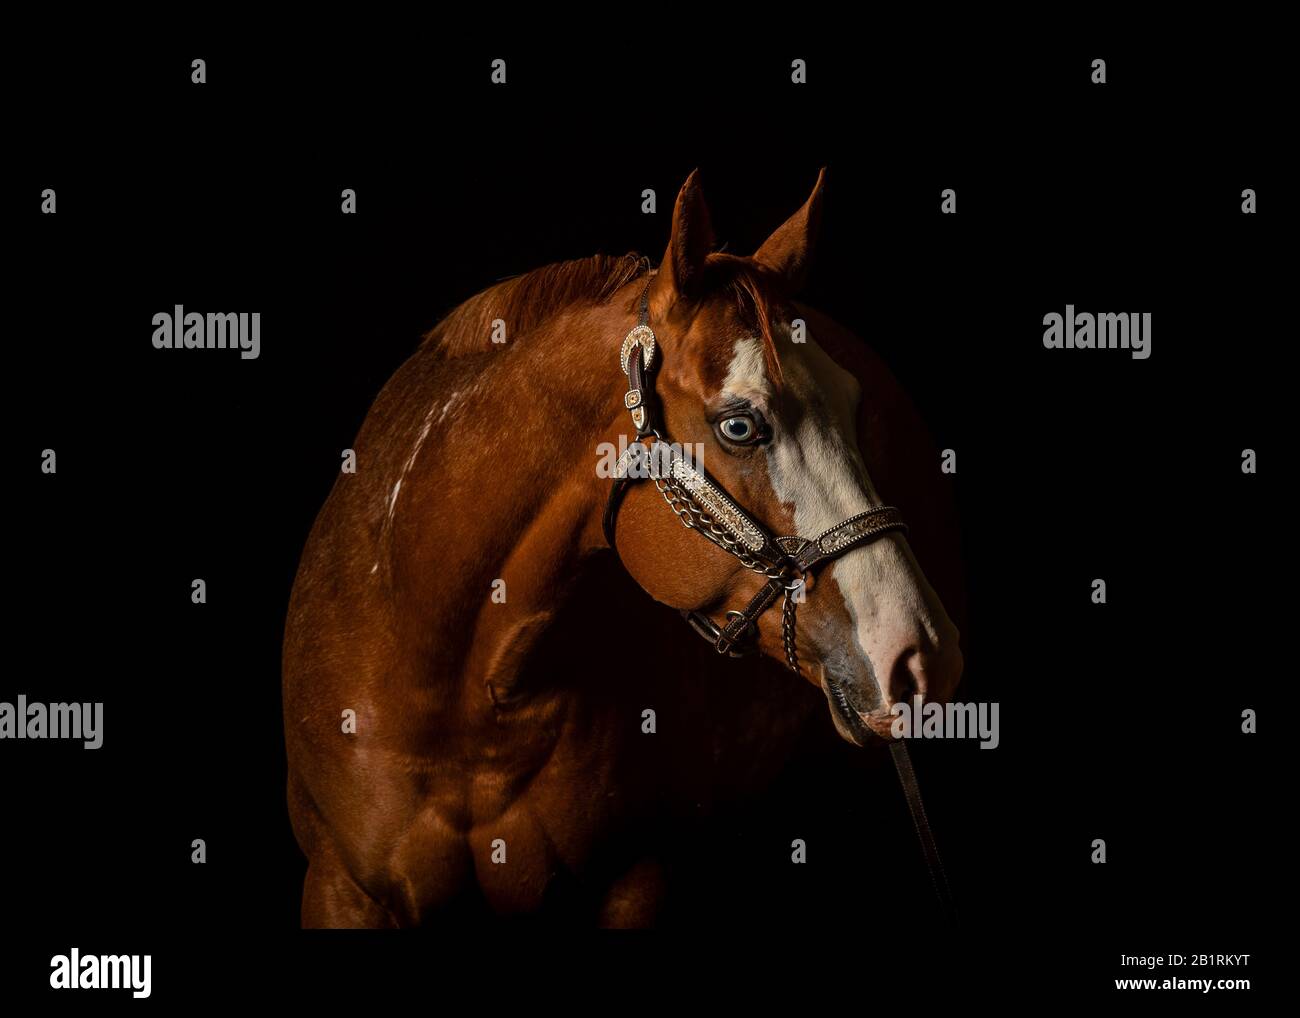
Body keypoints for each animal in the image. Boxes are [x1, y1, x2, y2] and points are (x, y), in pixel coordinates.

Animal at [282, 170, 965, 927]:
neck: (461, 690)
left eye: (855, 406)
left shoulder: (637, 881)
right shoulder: (340, 888)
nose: (922, 653)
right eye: (738, 425)